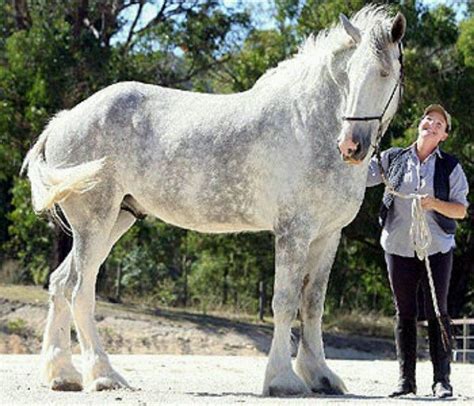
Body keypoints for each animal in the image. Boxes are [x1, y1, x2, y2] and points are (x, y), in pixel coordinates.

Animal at [22, 5, 406, 396]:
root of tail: (64, 120)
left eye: (384, 73)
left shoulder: (327, 235)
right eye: (348, 76)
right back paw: (103, 375)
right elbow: (284, 302)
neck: (309, 123)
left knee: (61, 283)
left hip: (116, 220)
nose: (351, 145)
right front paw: (282, 379)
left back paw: (62, 374)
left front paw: (321, 375)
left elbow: (312, 304)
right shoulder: (293, 232)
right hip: (95, 222)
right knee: (80, 291)